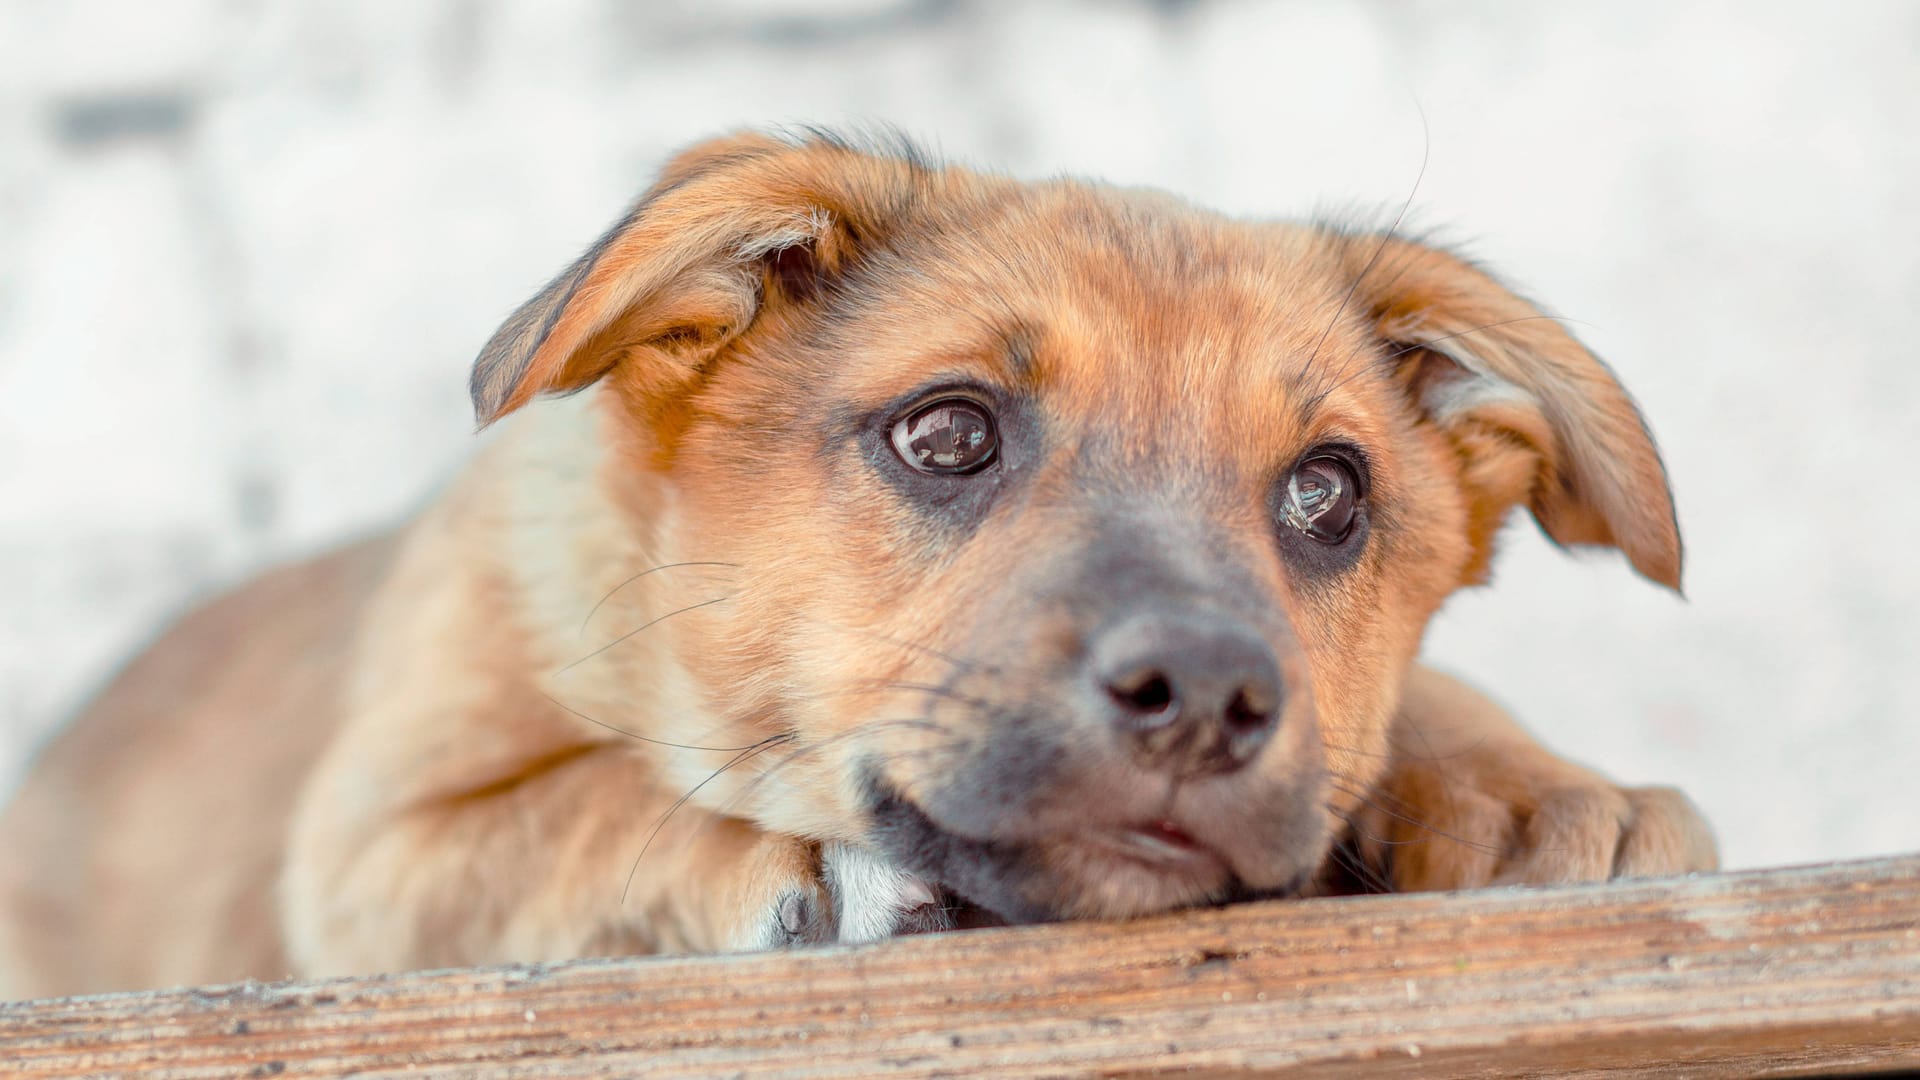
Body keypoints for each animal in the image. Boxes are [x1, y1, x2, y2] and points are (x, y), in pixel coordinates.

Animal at [0, 130, 1720, 999]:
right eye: (946, 434)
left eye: (1328, 492)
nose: (1206, 694)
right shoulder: (375, 855)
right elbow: (603, 802)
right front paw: (827, 870)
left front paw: (1531, 787)